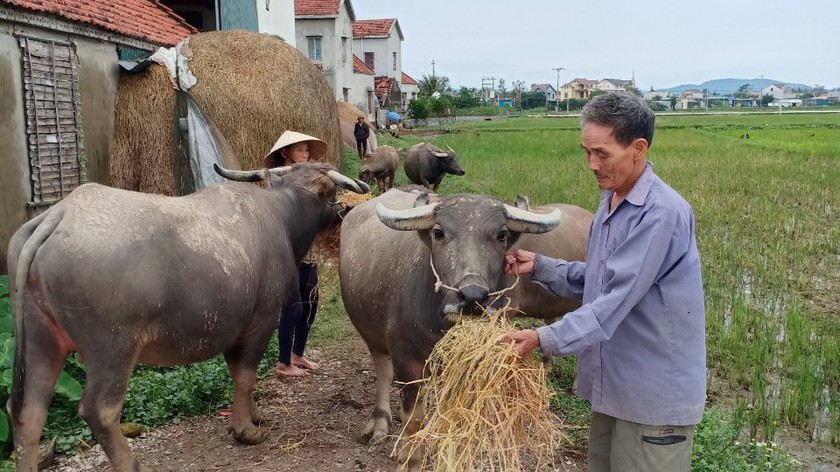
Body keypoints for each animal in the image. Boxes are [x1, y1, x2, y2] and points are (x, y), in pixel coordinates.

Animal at [5, 163, 368, 472]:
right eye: (329, 192)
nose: (340, 211)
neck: (281, 213)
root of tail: (61, 213)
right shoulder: (262, 322)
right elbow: (246, 376)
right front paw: (245, 430)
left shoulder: (233, 329)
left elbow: (238, 375)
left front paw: (253, 415)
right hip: (112, 349)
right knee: (99, 410)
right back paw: (132, 464)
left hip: (40, 338)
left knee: (27, 412)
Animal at [338, 186, 560, 470]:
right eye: (438, 232)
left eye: (501, 234)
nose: (472, 296)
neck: (438, 327)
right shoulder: (407, 360)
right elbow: (414, 419)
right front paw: (410, 459)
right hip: (371, 335)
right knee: (383, 372)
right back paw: (380, 421)